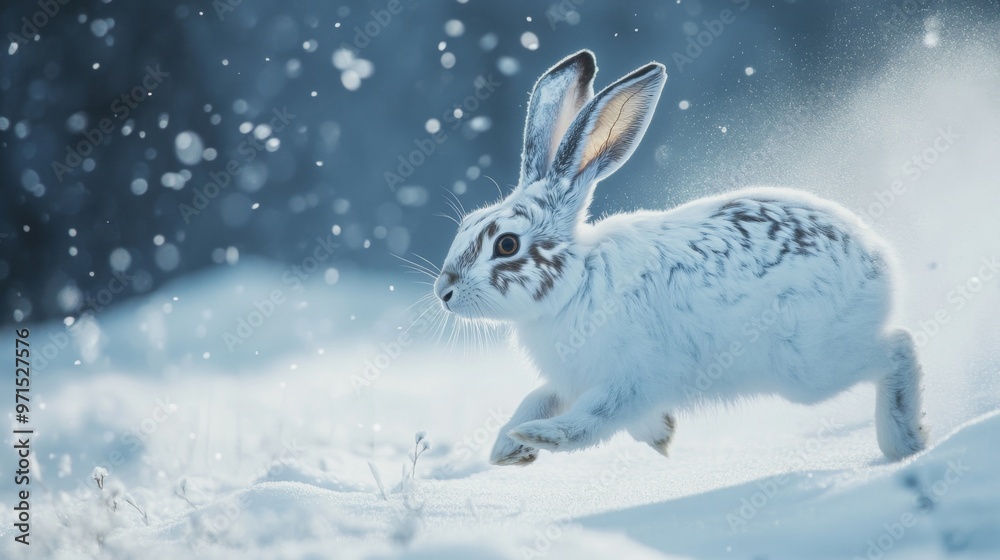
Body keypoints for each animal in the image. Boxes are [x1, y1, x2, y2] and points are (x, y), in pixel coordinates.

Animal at [432, 50, 927, 466]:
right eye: (467, 223)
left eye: (506, 245)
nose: (444, 292)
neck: (574, 283)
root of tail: (879, 260)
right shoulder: (574, 380)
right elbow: (538, 397)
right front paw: (507, 448)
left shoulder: (631, 380)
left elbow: (592, 420)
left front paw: (538, 436)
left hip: (809, 363)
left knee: (899, 348)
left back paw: (905, 443)